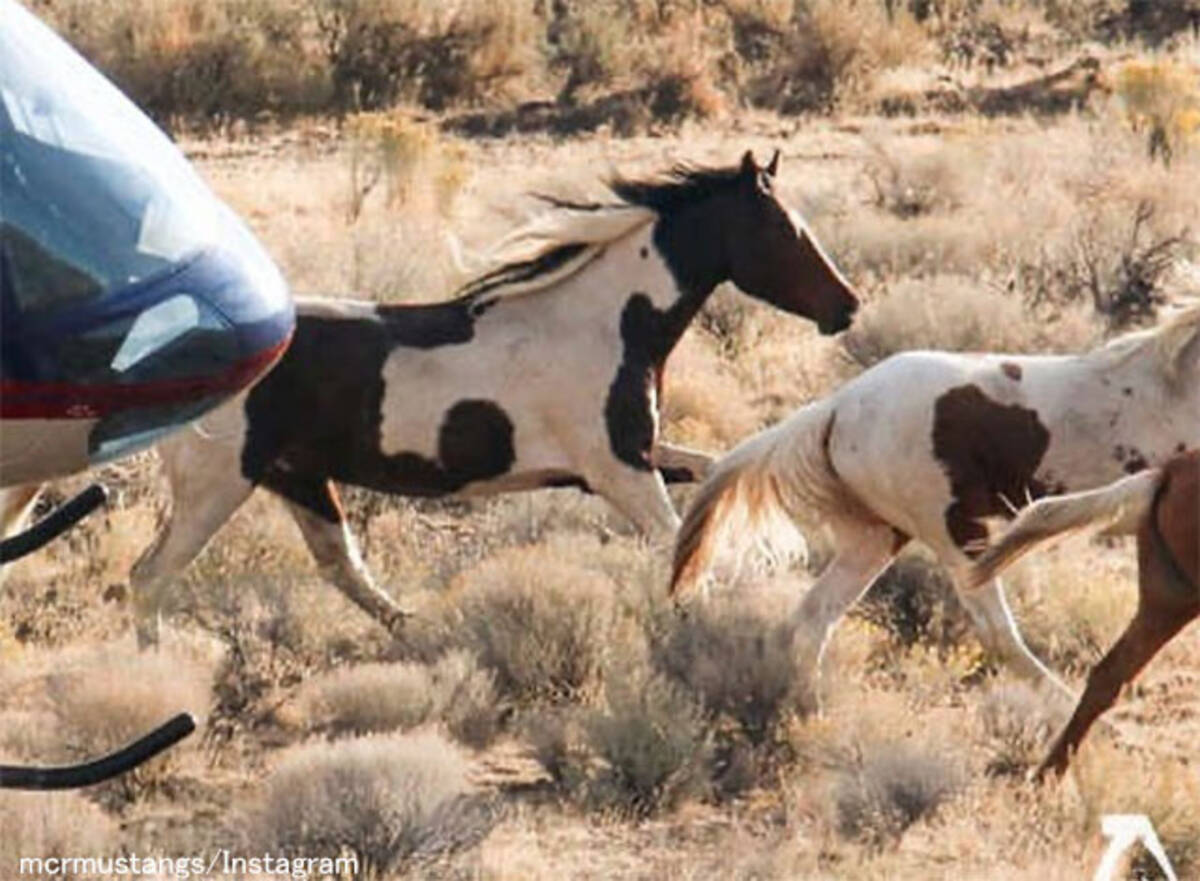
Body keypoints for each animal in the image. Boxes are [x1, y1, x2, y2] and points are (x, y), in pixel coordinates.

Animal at [124, 151, 864, 643]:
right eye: (784, 230)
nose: (847, 306)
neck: (605, 321)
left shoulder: (638, 455)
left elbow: (719, 475)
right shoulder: (619, 471)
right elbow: (677, 545)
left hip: (298, 479)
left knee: (342, 567)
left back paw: (420, 634)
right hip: (218, 484)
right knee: (149, 577)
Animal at [672, 307, 1195, 700]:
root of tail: (837, 407)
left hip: (878, 536)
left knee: (814, 616)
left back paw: (810, 706)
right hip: (955, 532)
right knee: (997, 632)